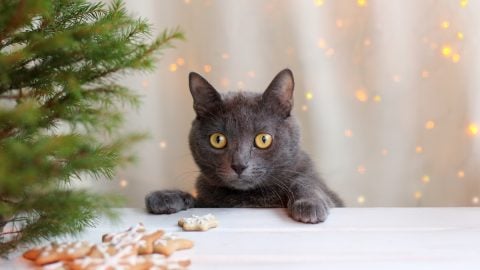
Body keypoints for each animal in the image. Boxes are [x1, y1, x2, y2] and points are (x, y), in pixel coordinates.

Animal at [144, 69, 344, 224]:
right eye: (218, 139)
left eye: (263, 139)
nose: (239, 165)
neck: (248, 199)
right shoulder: (207, 200)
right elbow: (195, 200)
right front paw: (166, 196)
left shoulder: (331, 196)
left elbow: (304, 181)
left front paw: (309, 204)